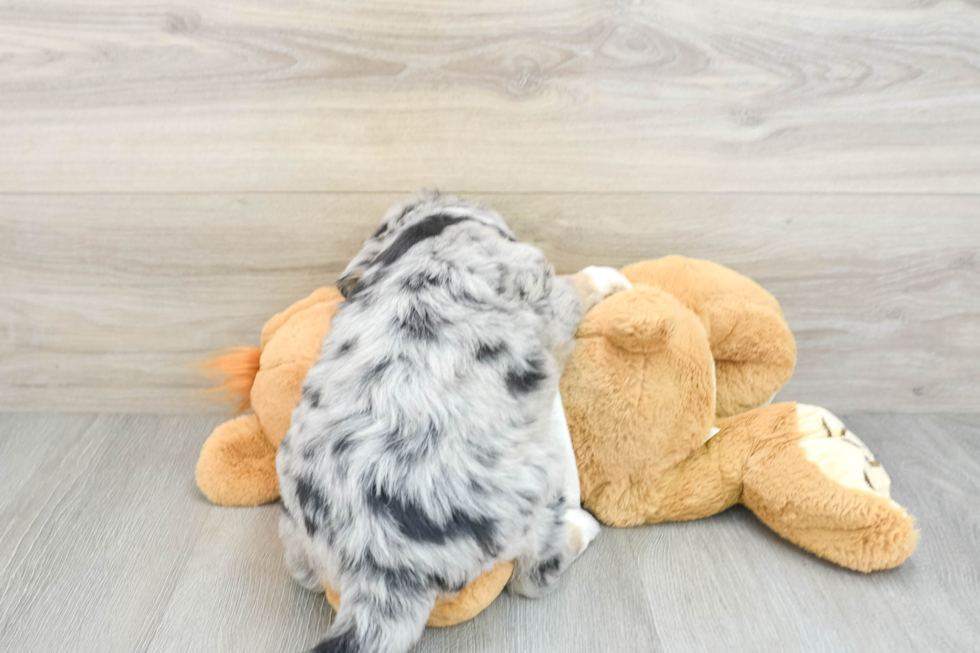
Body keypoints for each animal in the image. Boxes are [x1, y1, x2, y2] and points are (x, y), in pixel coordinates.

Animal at [278, 194, 628, 652]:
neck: (422, 237)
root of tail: (376, 568)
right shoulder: (547, 293)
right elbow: (576, 286)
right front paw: (607, 277)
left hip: (293, 523)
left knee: (303, 574)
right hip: (533, 488)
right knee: (533, 573)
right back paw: (580, 527)